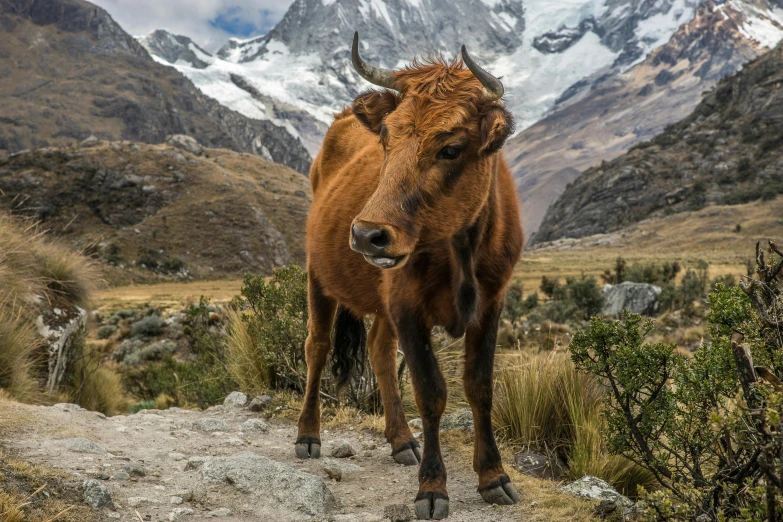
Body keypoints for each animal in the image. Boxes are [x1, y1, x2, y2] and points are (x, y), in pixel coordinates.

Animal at [298, 34, 524, 516]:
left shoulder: (490, 304)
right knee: (317, 346)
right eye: (386, 137)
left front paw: (494, 477)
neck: (461, 251)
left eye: (451, 147)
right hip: (317, 275)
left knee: (379, 350)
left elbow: (479, 386)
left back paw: (402, 441)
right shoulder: (408, 308)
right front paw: (433, 488)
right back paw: (308, 435)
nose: (367, 235)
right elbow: (431, 392)